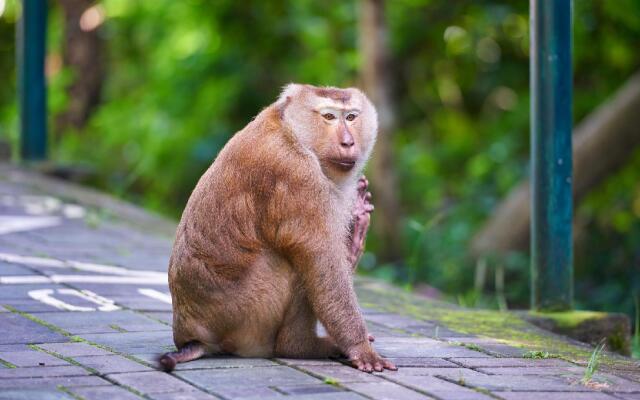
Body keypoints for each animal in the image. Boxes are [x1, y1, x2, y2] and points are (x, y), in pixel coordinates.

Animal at [159, 83, 396, 374]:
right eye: (329, 117)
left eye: (351, 117)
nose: (348, 142)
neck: (293, 131)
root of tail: (190, 335)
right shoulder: (296, 174)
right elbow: (321, 258)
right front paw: (360, 347)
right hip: (247, 316)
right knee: (295, 262)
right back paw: (298, 345)